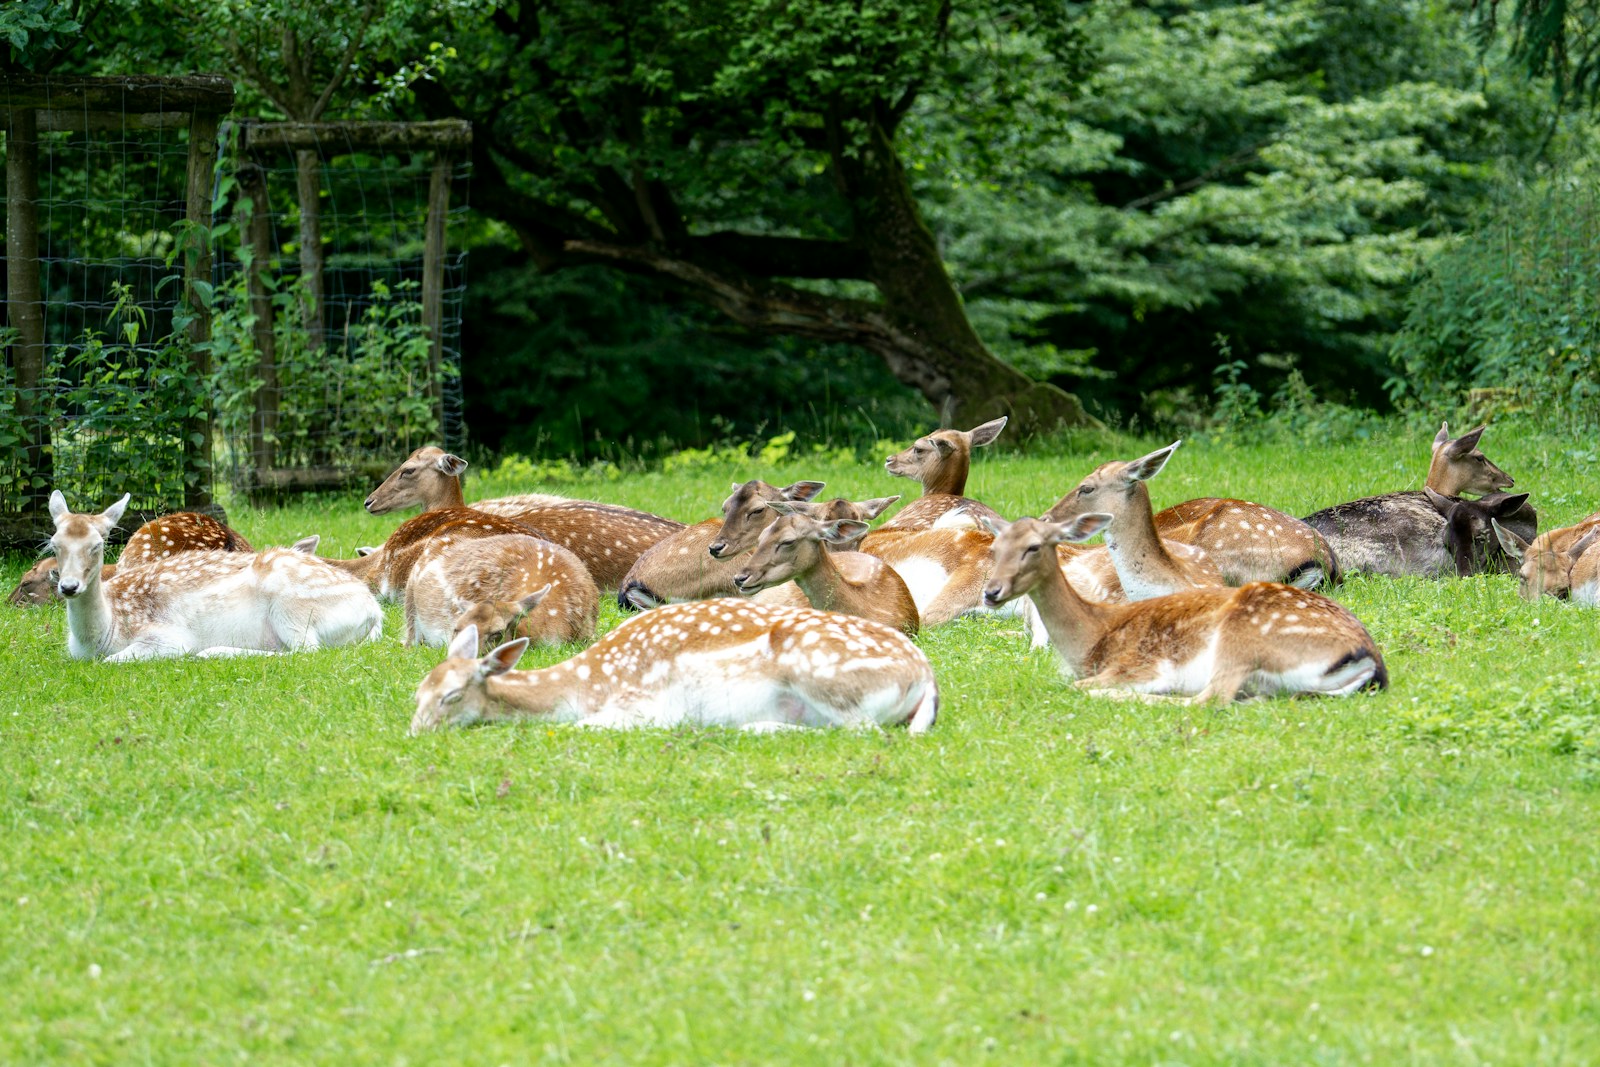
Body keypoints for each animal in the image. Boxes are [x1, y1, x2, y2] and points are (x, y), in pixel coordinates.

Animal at [47, 491, 382, 660]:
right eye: (54, 543)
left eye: (97, 544)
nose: (69, 586)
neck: (102, 635)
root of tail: (375, 612)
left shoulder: (169, 639)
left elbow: (113, 660)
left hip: (294, 610)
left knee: (306, 653)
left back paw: (213, 651)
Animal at [410, 602, 940, 735]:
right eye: (418, 692)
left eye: (451, 696)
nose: (415, 732)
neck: (584, 685)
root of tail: (926, 677)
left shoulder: (642, 708)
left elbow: (580, 727)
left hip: (822, 673)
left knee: (864, 730)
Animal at [983, 513, 1388, 702]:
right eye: (995, 547)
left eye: (1034, 547)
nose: (990, 591)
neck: (1090, 641)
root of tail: (1371, 660)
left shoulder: (1141, 665)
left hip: (1242, 641)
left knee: (1209, 700)